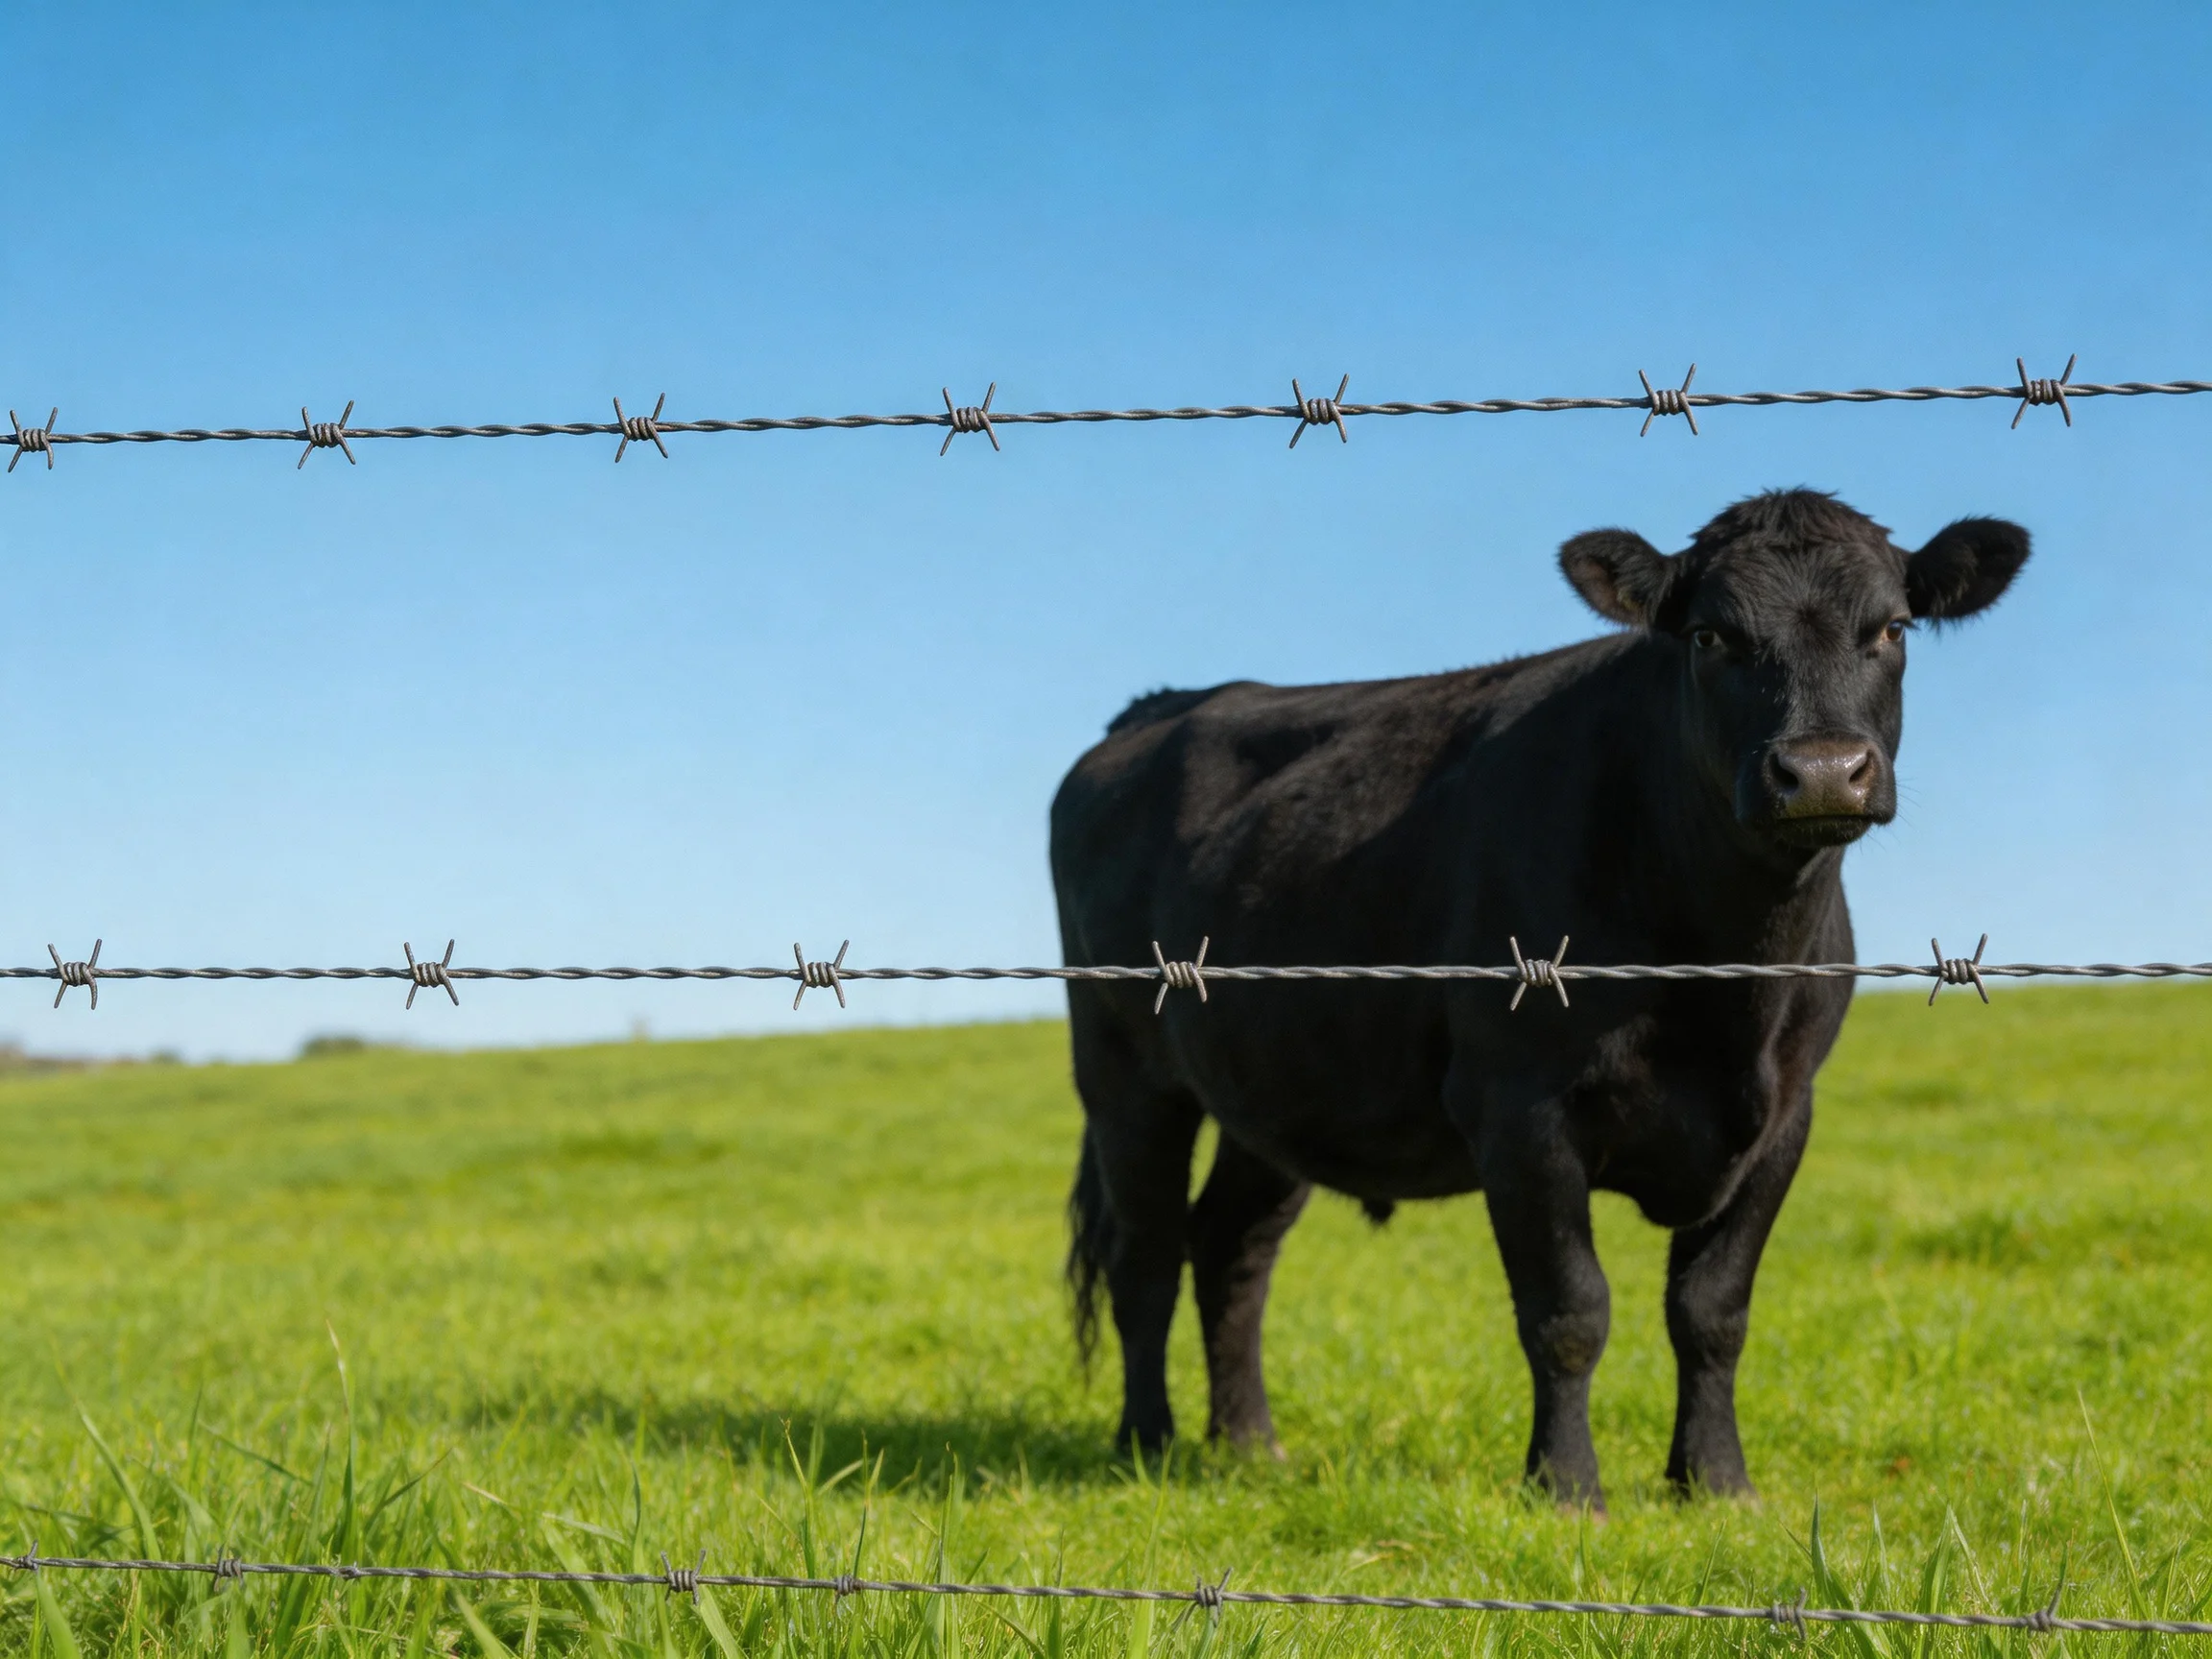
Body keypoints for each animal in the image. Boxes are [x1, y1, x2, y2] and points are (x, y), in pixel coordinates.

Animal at [1048, 489, 2028, 1508]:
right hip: (1125, 1076)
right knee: (1145, 1256)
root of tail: (1167, 705)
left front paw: (1716, 1483)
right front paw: (1565, 1487)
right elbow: (1568, 1310)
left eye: (1892, 628)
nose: (1824, 770)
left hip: (1278, 1092)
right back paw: (1146, 1444)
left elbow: (1713, 1310)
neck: (1723, 984)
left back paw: (1248, 1444)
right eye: (1711, 635)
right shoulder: (1520, 1107)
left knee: (1230, 1249)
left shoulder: (1784, 1115)